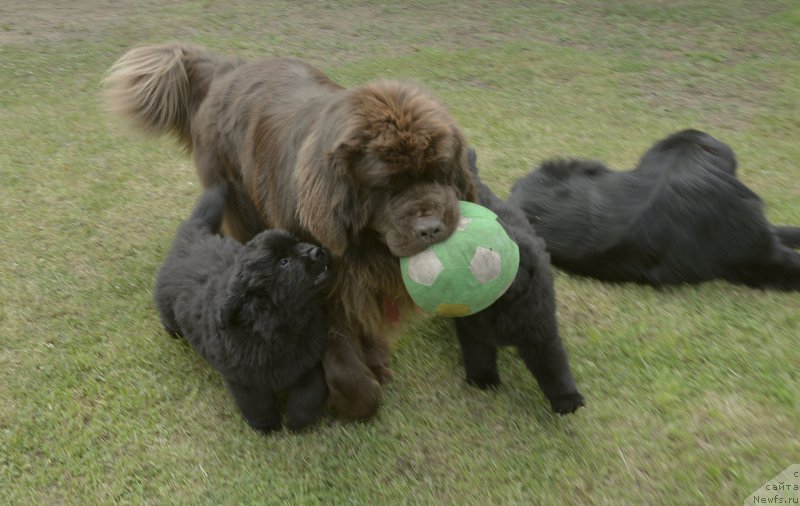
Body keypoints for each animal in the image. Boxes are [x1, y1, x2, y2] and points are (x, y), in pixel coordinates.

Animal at [153, 184, 332, 432]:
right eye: (283, 262)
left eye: (297, 242)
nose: (317, 251)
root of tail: (191, 233)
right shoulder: (245, 381)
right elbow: (257, 405)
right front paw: (267, 427)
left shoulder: (306, 364)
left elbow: (310, 394)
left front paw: (296, 422)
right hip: (167, 306)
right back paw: (172, 331)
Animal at [456, 147, 588, 416]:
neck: (499, 307)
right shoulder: (471, 327)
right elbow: (478, 354)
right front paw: (483, 379)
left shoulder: (540, 328)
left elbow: (553, 366)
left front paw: (567, 398)